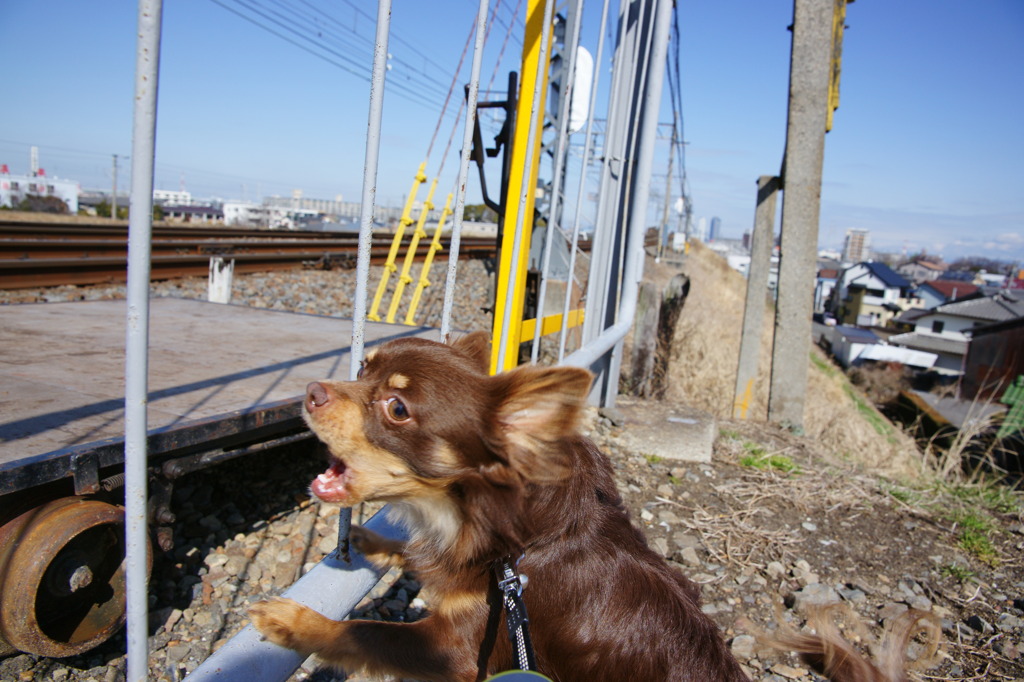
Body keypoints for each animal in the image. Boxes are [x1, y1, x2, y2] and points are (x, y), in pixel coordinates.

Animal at [251, 331, 909, 675]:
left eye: (396, 409)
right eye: (362, 366)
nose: (311, 391)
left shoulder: (461, 650)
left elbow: (363, 632)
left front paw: (294, 621)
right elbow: (418, 558)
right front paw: (377, 541)